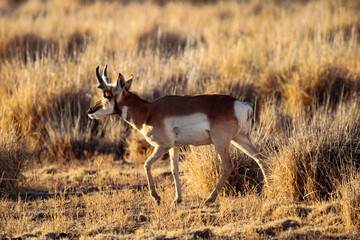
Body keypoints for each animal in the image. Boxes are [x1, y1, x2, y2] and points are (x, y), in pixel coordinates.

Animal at [87, 66, 268, 206]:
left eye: (107, 95)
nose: (90, 111)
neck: (149, 111)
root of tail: (242, 105)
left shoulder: (162, 146)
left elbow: (146, 165)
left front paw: (156, 197)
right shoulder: (174, 147)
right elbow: (174, 170)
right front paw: (177, 199)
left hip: (221, 142)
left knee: (228, 166)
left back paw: (209, 199)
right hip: (240, 139)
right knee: (261, 158)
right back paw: (268, 189)